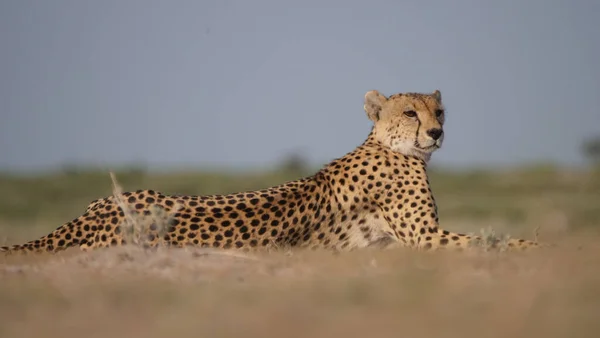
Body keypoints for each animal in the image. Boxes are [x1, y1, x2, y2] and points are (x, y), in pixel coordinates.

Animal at [1, 88, 544, 255]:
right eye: (411, 112)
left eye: (440, 112)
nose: (435, 133)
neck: (389, 145)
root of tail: (94, 210)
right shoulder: (424, 238)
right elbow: (498, 240)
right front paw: (541, 247)